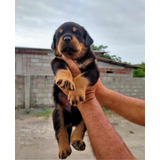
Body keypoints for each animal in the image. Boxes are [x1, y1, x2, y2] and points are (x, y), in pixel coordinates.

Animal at [50, 22, 99, 159]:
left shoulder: (93, 69)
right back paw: (64, 149)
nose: (66, 38)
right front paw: (66, 81)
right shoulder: (57, 60)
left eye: (76, 32)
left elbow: (81, 77)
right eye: (59, 34)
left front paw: (76, 93)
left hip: (84, 115)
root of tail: (71, 121)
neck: (75, 59)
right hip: (58, 112)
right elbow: (62, 68)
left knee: (80, 127)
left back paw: (77, 141)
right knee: (61, 132)